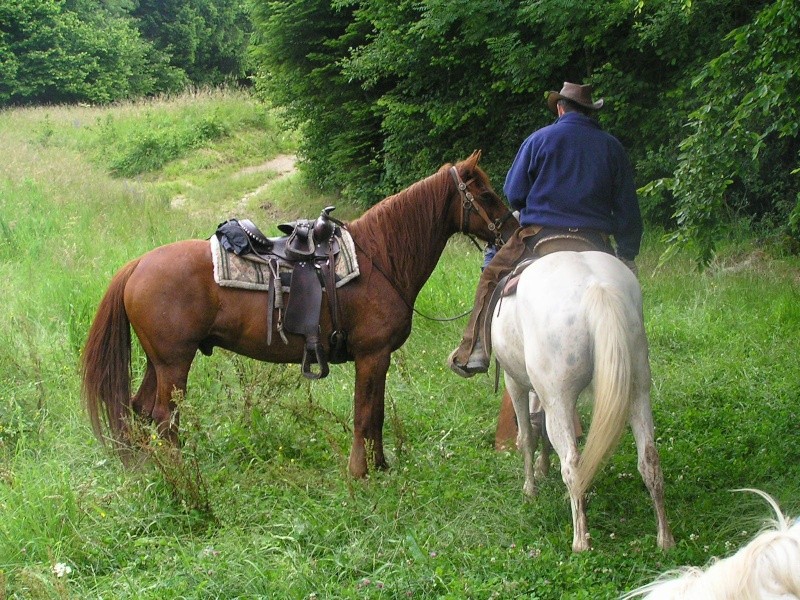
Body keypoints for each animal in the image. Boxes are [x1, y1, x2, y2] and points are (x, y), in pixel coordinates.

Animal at [83, 151, 520, 478]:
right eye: (484, 193)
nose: (513, 230)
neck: (381, 258)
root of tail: (137, 265)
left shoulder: (378, 359)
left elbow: (376, 414)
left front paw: (380, 466)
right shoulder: (372, 355)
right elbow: (364, 415)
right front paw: (359, 474)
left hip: (159, 362)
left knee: (140, 410)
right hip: (174, 363)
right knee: (163, 416)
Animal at [494, 251, 676, 552]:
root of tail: (596, 287)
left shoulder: (515, 382)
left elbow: (527, 437)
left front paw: (530, 489)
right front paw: (543, 468)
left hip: (558, 399)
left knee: (572, 463)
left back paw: (581, 542)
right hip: (638, 389)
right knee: (649, 458)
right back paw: (665, 538)